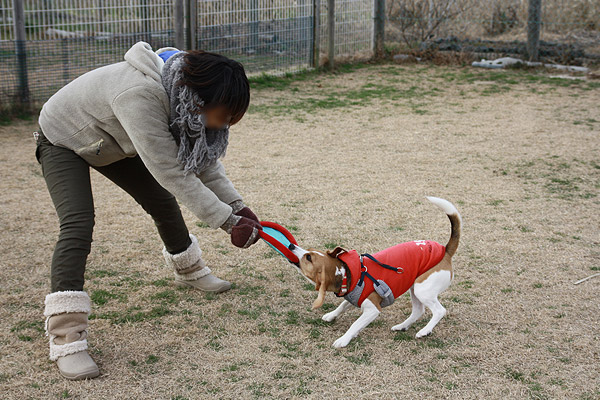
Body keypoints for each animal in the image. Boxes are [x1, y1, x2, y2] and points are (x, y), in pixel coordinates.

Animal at [288, 197, 462, 346]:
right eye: (309, 251)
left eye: (308, 257)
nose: (291, 246)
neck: (347, 274)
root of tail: (445, 251)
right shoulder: (354, 296)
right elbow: (343, 305)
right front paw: (331, 315)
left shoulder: (372, 309)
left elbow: (355, 324)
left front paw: (343, 339)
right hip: (415, 287)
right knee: (418, 311)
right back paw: (402, 326)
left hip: (422, 289)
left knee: (439, 311)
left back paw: (424, 331)